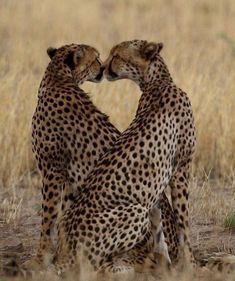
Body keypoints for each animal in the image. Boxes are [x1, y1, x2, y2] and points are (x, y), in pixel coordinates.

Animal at [52, 40, 196, 274]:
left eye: (116, 55)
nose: (103, 68)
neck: (158, 83)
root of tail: (64, 251)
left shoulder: (155, 189)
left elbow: (159, 228)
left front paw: (167, 266)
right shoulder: (181, 169)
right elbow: (184, 224)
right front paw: (191, 265)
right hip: (134, 211)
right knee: (91, 266)